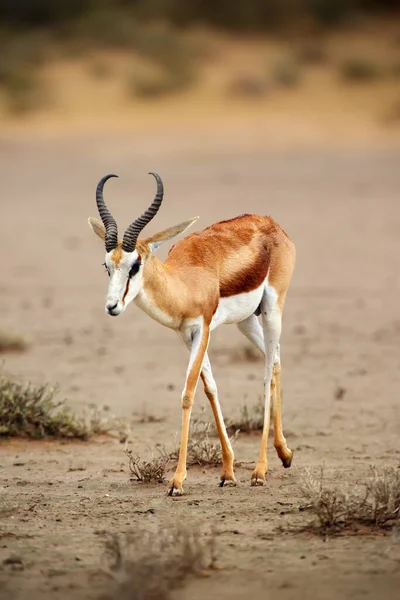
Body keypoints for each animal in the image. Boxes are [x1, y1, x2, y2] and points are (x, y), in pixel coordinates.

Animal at [90, 171, 296, 494]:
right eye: (107, 265)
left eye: (135, 265)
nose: (112, 306)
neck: (186, 283)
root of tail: (270, 223)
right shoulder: (185, 335)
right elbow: (210, 388)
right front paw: (227, 472)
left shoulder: (204, 328)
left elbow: (188, 394)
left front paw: (177, 481)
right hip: (247, 321)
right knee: (274, 360)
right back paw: (284, 453)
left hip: (273, 309)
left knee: (267, 372)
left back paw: (261, 471)